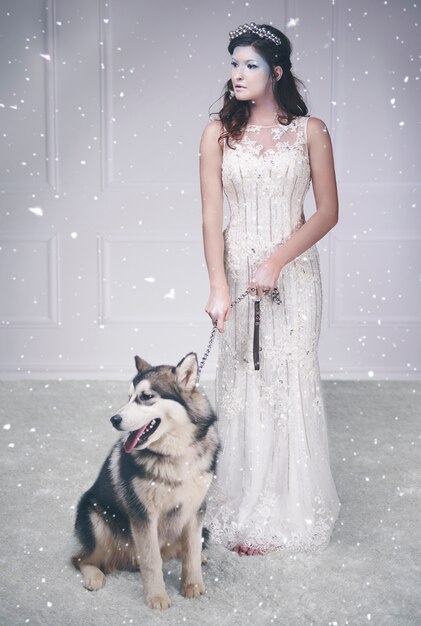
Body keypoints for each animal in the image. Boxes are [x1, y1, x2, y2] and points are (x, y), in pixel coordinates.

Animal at [72, 354, 221, 608]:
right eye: (129, 397)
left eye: (146, 397)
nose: (114, 419)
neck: (175, 455)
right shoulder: (143, 514)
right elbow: (152, 561)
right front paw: (157, 596)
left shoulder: (195, 509)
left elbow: (190, 553)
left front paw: (192, 585)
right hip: (96, 518)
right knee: (80, 558)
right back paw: (94, 576)